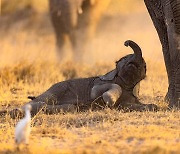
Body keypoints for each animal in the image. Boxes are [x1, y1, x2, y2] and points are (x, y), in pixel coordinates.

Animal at [0, 40, 158, 118]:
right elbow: (98, 91)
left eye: (144, 65)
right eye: (124, 58)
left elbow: (131, 106)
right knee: (41, 101)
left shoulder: (131, 97)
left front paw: (152, 107)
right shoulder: (99, 82)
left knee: (65, 107)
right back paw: (15, 112)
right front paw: (108, 101)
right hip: (55, 89)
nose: (126, 43)